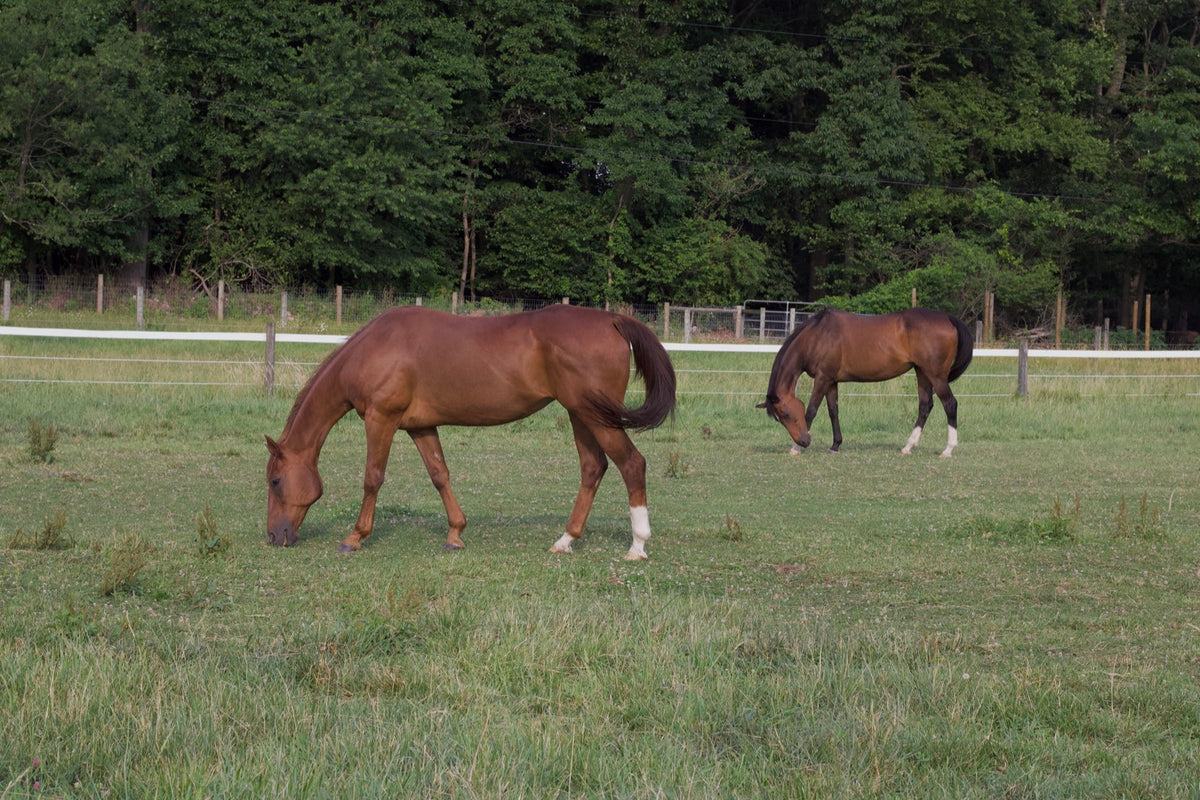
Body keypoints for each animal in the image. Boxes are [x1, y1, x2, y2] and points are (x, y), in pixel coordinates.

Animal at [265, 304, 676, 560]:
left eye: (275, 480)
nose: (273, 536)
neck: (376, 348)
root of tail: (612, 320)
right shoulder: (420, 426)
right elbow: (439, 475)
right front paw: (455, 534)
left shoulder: (381, 419)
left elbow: (372, 478)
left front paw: (354, 537)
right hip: (581, 415)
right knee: (593, 468)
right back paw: (565, 540)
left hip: (597, 417)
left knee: (631, 464)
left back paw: (637, 546)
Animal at [758, 307, 973, 457]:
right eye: (779, 418)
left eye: (785, 414)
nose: (804, 441)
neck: (818, 336)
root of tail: (948, 318)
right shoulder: (831, 381)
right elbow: (833, 411)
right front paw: (835, 445)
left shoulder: (822, 378)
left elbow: (811, 410)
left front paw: (795, 448)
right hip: (922, 373)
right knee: (925, 406)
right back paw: (908, 446)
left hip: (936, 376)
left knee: (950, 404)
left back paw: (948, 449)